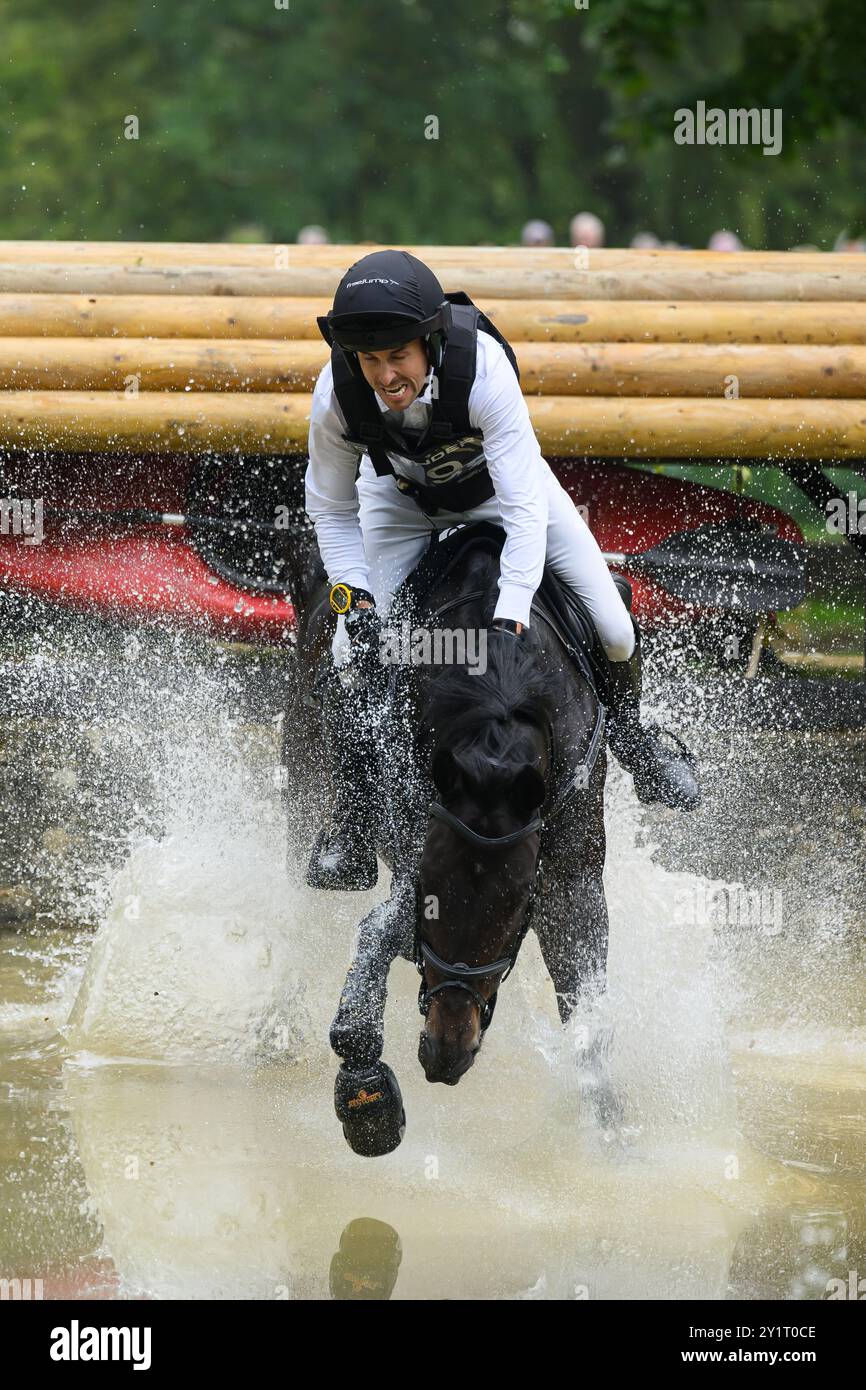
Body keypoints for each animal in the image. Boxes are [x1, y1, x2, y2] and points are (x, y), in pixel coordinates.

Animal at [287, 522, 619, 1150]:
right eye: (433, 898)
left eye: (517, 909)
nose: (446, 1054)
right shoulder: (414, 859)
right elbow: (378, 935)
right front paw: (366, 1095)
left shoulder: (571, 879)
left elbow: (587, 1004)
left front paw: (615, 1131)